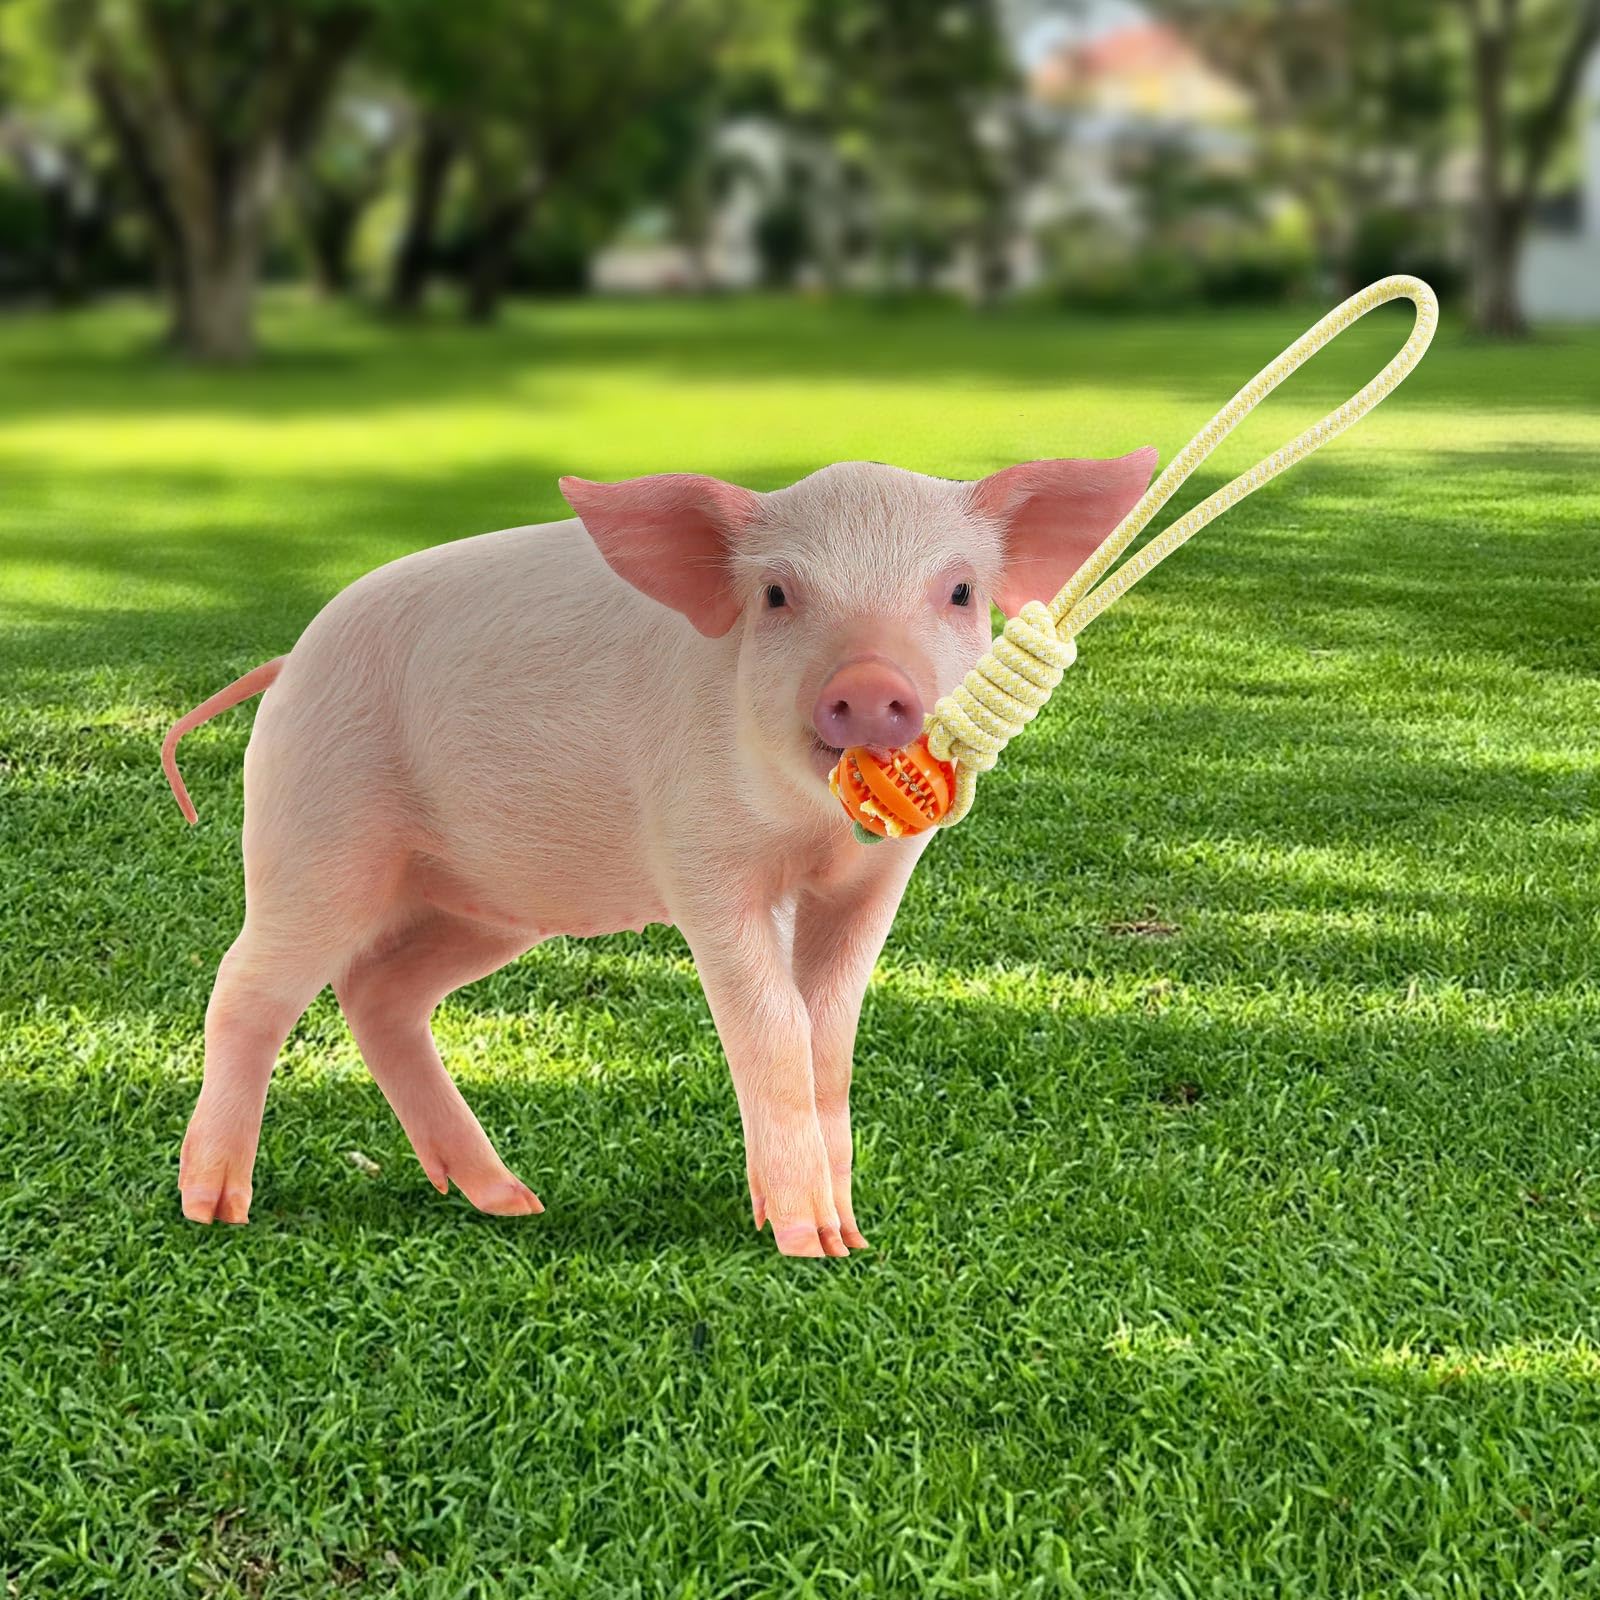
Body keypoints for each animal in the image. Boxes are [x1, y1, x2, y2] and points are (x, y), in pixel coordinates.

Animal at [164, 452, 1156, 1257]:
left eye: (958, 592)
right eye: (777, 596)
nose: (870, 685)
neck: (808, 834)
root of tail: (289, 663)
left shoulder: (875, 880)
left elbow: (829, 1031)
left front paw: (852, 1234)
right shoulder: (703, 859)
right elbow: (772, 1024)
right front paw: (810, 1247)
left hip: (480, 898)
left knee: (379, 991)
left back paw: (510, 1202)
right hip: (318, 829)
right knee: (246, 985)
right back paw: (213, 1209)